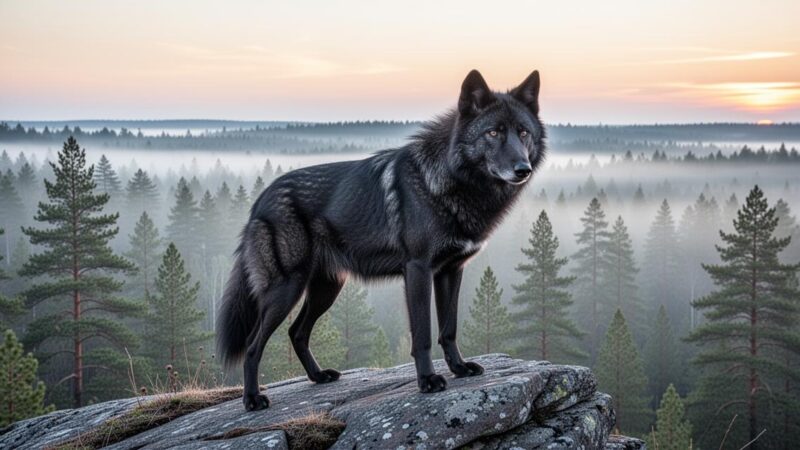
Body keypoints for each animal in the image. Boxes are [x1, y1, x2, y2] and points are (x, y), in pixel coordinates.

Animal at [217, 69, 546, 411]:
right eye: (493, 133)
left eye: (523, 133)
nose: (522, 169)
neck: (449, 181)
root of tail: (260, 200)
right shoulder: (418, 270)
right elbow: (423, 334)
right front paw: (428, 381)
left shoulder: (450, 271)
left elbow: (449, 329)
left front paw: (459, 368)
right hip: (287, 290)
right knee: (253, 345)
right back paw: (252, 399)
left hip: (326, 290)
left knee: (297, 332)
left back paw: (318, 377)